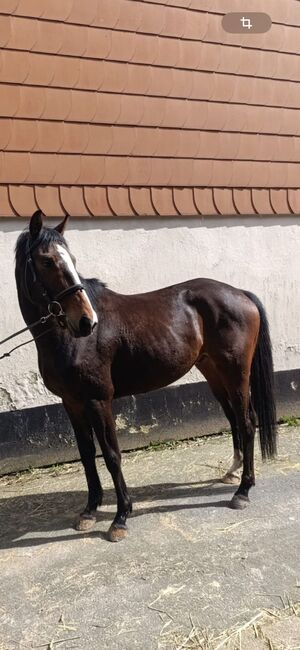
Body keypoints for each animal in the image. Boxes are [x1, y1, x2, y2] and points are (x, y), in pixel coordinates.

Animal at [14, 210, 276, 540]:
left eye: (71, 260)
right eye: (47, 261)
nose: (87, 321)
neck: (69, 340)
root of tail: (241, 293)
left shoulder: (99, 400)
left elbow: (111, 455)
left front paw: (120, 517)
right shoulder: (71, 403)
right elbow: (87, 455)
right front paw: (89, 511)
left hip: (236, 372)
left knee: (247, 421)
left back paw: (242, 491)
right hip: (213, 372)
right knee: (233, 418)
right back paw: (232, 474)